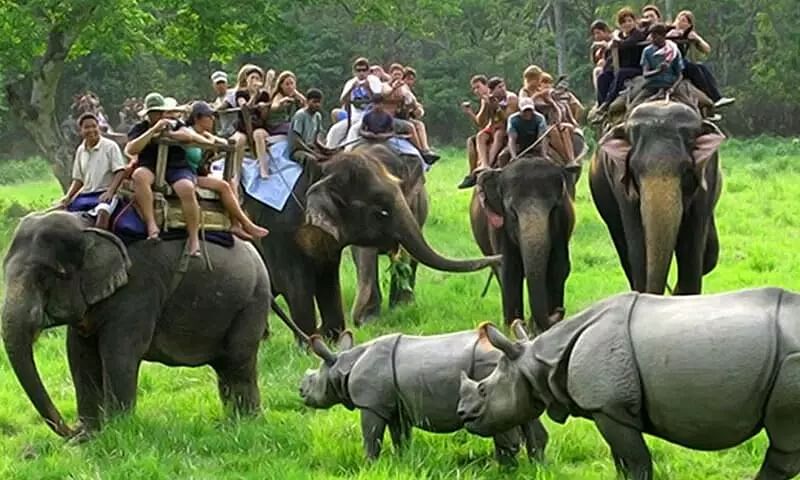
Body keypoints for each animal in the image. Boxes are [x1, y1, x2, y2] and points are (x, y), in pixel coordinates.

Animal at [1, 212, 272, 436]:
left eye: (49, 276)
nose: (71, 430)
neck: (90, 226)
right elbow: (80, 355)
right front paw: (89, 436)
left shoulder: (138, 288)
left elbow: (119, 354)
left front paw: (117, 431)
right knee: (227, 366)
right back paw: (235, 424)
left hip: (252, 301)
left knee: (237, 362)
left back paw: (245, 424)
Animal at [244, 144, 500, 340]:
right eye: (381, 211)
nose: (499, 258)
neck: (318, 170)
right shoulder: (277, 230)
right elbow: (293, 282)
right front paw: (312, 346)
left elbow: (328, 279)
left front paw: (334, 339)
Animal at [296, 328, 548, 464]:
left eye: (312, 381)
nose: (300, 391)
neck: (342, 365)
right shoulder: (395, 405)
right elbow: (400, 436)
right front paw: (402, 461)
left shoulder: (370, 405)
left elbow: (371, 437)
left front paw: (368, 464)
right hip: (514, 377)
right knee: (524, 417)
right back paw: (536, 467)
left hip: (489, 369)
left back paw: (502, 469)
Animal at [460, 286, 800, 478]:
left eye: (484, 389)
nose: (464, 416)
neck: (538, 365)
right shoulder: (610, 411)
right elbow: (622, 462)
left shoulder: (609, 407)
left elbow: (636, 462)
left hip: (791, 362)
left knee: (784, 441)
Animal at [472, 158, 580, 334]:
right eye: (512, 212)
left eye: (554, 209)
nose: (559, 311)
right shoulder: (499, 228)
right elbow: (510, 271)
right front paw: (512, 328)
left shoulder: (562, 226)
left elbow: (558, 268)